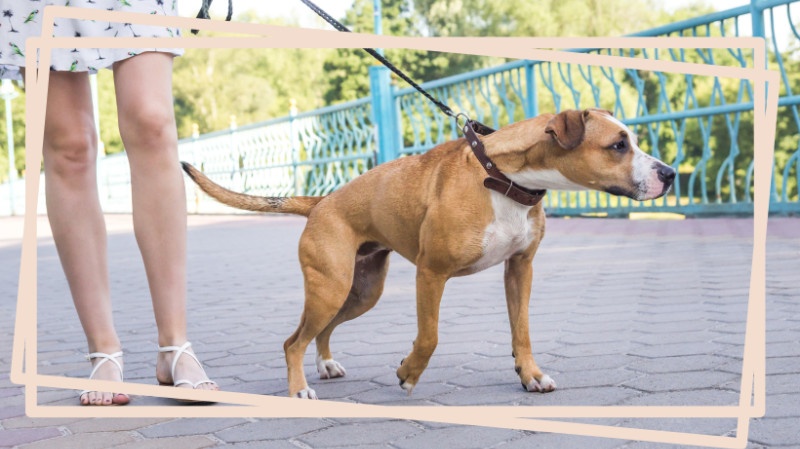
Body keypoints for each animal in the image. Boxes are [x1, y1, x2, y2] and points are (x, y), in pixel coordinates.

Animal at [181, 108, 676, 400]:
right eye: (618, 145)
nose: (670, 173)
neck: (503, 177)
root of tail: (321, 202)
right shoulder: (431, 274)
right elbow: (430, 336)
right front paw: (408, 372)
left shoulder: (520, 270)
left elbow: (522, 332)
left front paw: (530, 374)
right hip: (331, 288)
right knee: (292, 341)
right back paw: (300, 387)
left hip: (360, 292)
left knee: (320, 332)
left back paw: (324, 364)